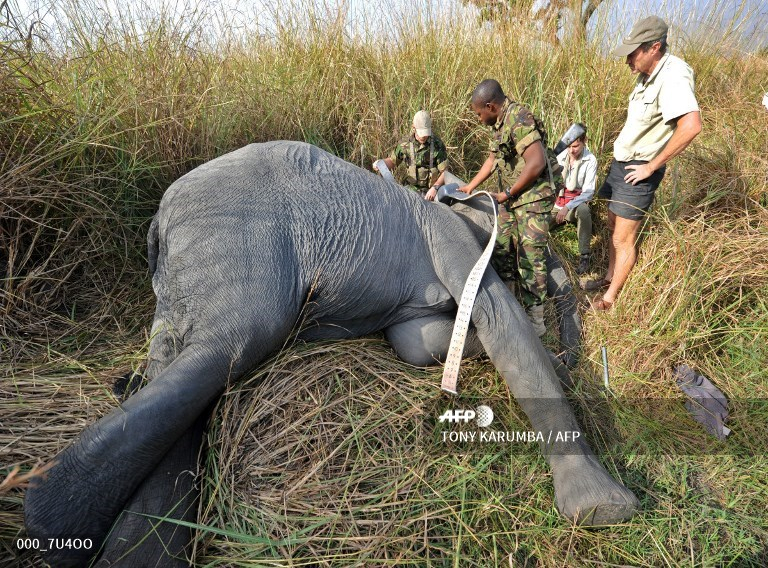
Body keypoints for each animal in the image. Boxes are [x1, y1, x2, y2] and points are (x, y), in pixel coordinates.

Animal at [24, 140, 636, 564]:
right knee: (229, 344)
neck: (453, 198)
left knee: (181, 361)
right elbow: (497, 319)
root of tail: (160, 219)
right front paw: (604, 510)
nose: (572, 353)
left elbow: (416, 342)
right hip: (233, 239)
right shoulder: (452, 236)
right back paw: (53, 520)